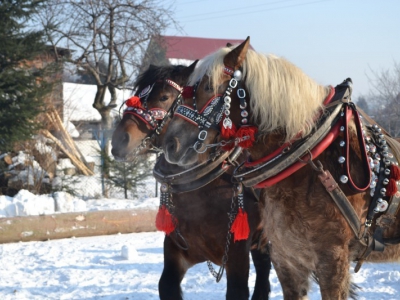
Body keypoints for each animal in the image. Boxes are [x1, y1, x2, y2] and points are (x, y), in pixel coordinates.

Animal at [111, 62, 270, 300]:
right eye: (138, 93)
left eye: (164, 96)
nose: (119, 140)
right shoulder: (177, 250)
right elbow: (166, 285)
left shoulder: (237, 255)